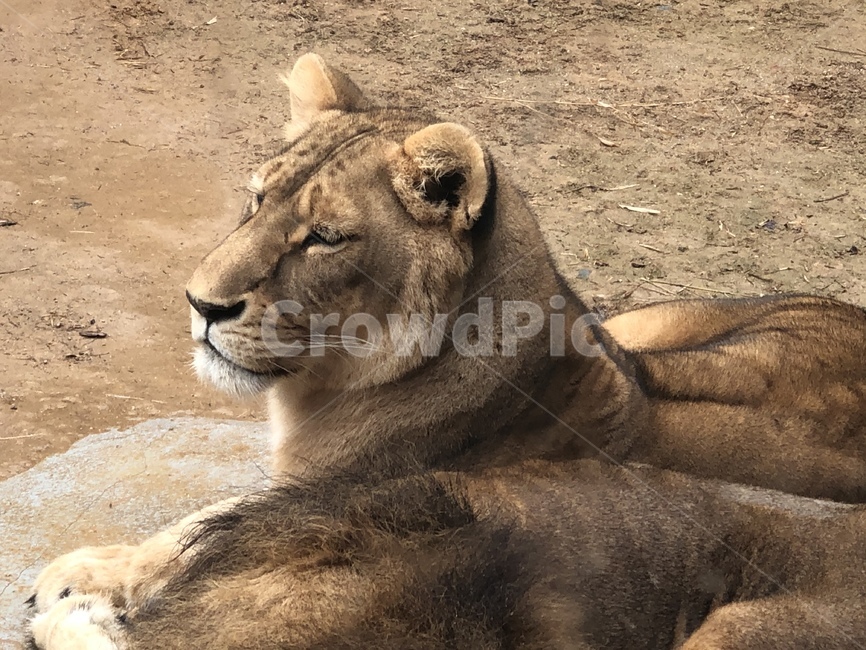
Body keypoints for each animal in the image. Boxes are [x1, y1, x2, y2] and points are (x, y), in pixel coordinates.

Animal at [25, 53, 866, 646]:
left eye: (324, 237)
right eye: (256, 200)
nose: (201, 305)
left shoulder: (341, 500)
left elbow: (200, 532)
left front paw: (84, 578)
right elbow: (198, 524)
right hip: (647, 326)